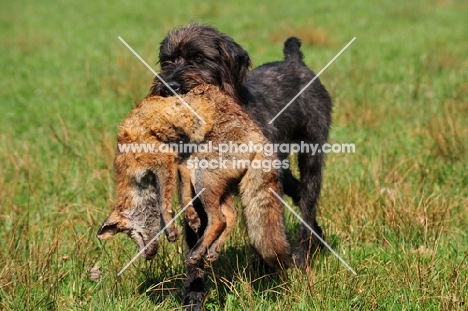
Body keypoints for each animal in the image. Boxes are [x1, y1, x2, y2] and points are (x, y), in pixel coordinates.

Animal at [97, 84, 290, 268]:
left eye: (131, 234)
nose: (145, 256)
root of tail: (259, 136)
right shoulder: (182, 161)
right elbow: (183, 196)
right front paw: (191, 217)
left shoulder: (163, 160)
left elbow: (163, 203)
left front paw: (170, 230)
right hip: (208, 177)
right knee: (231, 214)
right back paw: (211, 250)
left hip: (202, 177)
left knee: (219, 219)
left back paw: (197, 251)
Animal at [151, 22, 332, 310]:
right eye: (167, 60)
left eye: (198, 58)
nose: (169, 86)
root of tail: (295, 62)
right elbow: (195, 245)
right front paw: (193, 297)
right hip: (282, 170)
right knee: (300, 194)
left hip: (311, 158)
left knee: (306, 203)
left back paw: (301, 258)